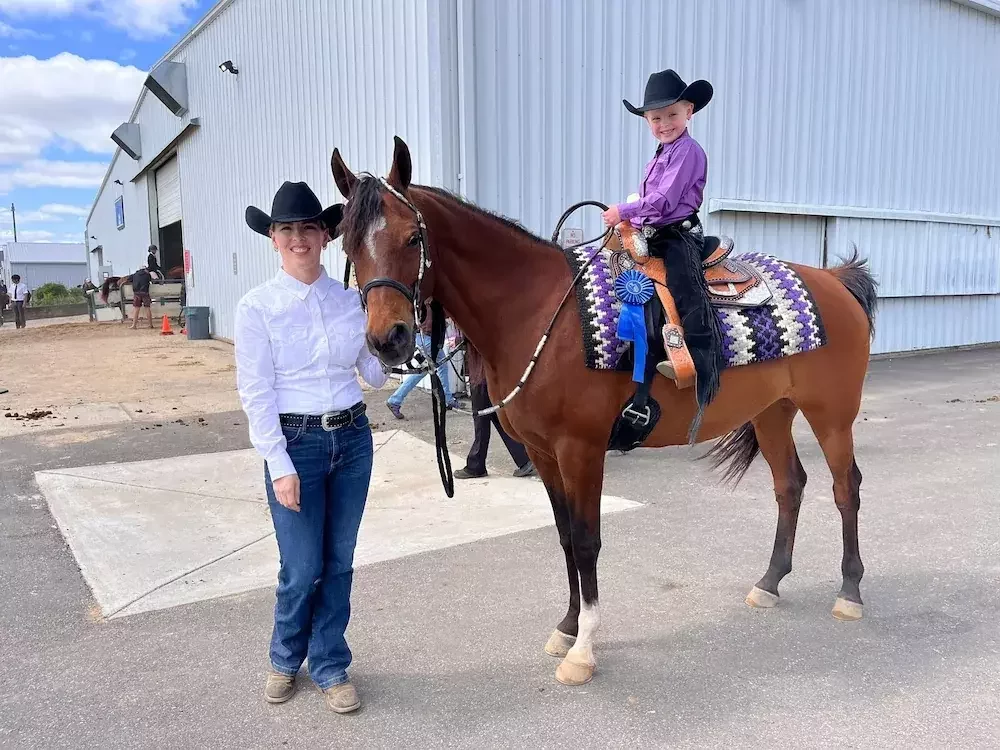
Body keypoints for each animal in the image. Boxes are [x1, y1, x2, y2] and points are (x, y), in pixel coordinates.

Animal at [331, 137, 878, 687]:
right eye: (349, 247)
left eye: (410, 239)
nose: (388, 339)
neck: (535, 311)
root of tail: (834, 281)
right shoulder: (543, 452)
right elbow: (564, 538)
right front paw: (568, 627)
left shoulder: (582, 450)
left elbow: (587, 540)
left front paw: (583, 650)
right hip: (772, 413)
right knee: (790, 485)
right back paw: (769, 582)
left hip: (831, 414)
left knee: (846, 487)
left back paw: (850, 591)